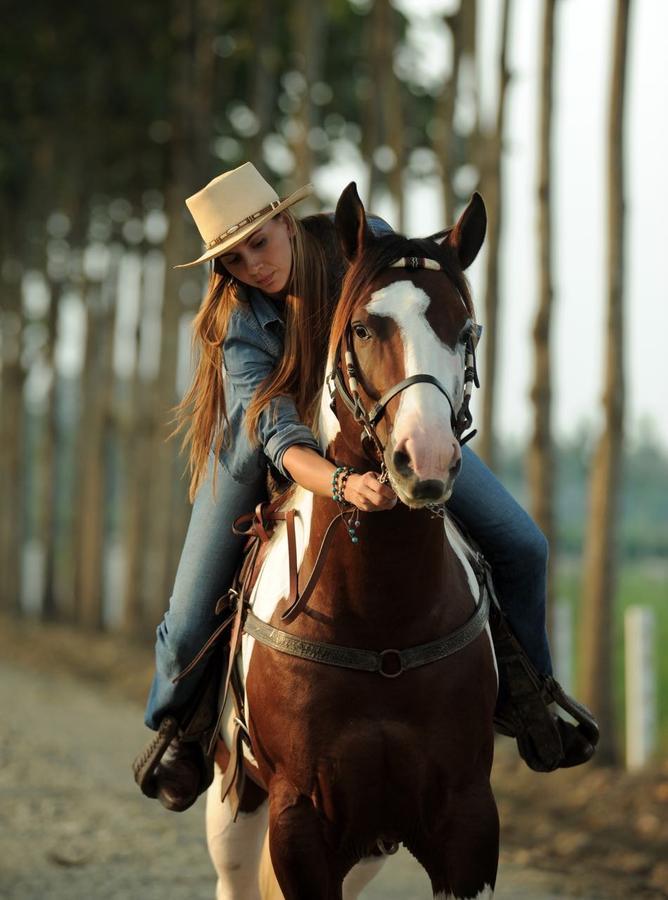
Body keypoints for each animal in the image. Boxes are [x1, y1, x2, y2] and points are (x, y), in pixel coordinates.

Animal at [206, 185, 498, 900]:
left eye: (465, 329)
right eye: (364, 327)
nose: (424, 458)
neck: (379, 617)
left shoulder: (467, 822)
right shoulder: (298, 823)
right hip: (234, 801)